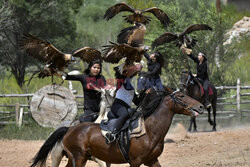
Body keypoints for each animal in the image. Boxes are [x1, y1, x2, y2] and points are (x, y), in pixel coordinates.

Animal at [61, 90, 204, 166]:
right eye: (182, 96)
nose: (201, 106)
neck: (150, 132)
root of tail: (69, 129)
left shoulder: (152, 160)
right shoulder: (135, 162)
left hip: (77, 158)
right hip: (79, 158)